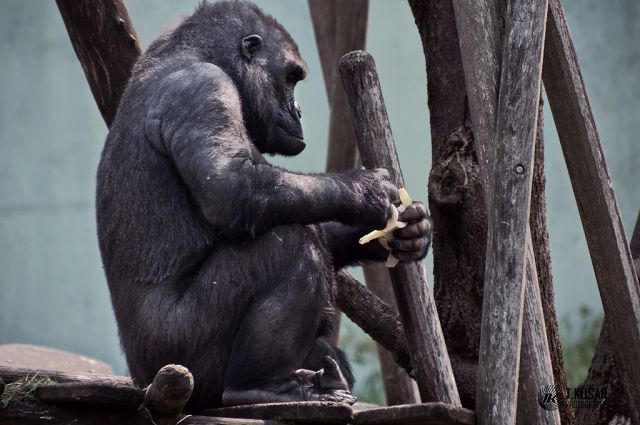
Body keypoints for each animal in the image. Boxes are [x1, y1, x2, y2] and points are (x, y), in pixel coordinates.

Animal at [96, 0, 430, 410]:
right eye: (291, 76)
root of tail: (140, 379)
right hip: (181, 353)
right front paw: (364, 191)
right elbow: (231, 187)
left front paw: (410, 232)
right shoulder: (204, 89)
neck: (196, 55)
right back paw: (259, 384)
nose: (298, 108)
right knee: (289, 246)